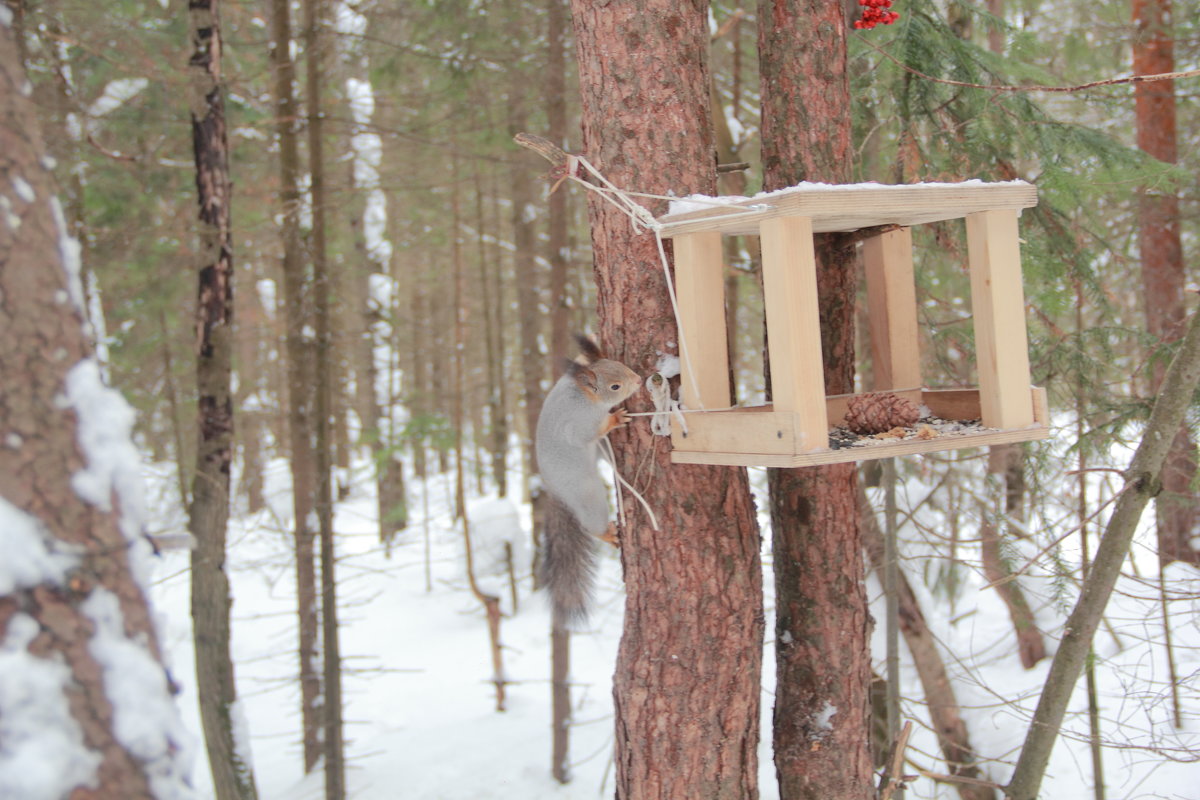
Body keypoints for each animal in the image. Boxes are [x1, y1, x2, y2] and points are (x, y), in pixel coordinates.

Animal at [537, 331, 643, 623]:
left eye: (619, 364)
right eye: (615, 387)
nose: (639, 380)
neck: (582, 395)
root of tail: (554, 489)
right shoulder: (579, 425)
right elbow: (588, 432)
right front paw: (615, 419)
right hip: (587, 492)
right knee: (590, 523)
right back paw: (607, 534)